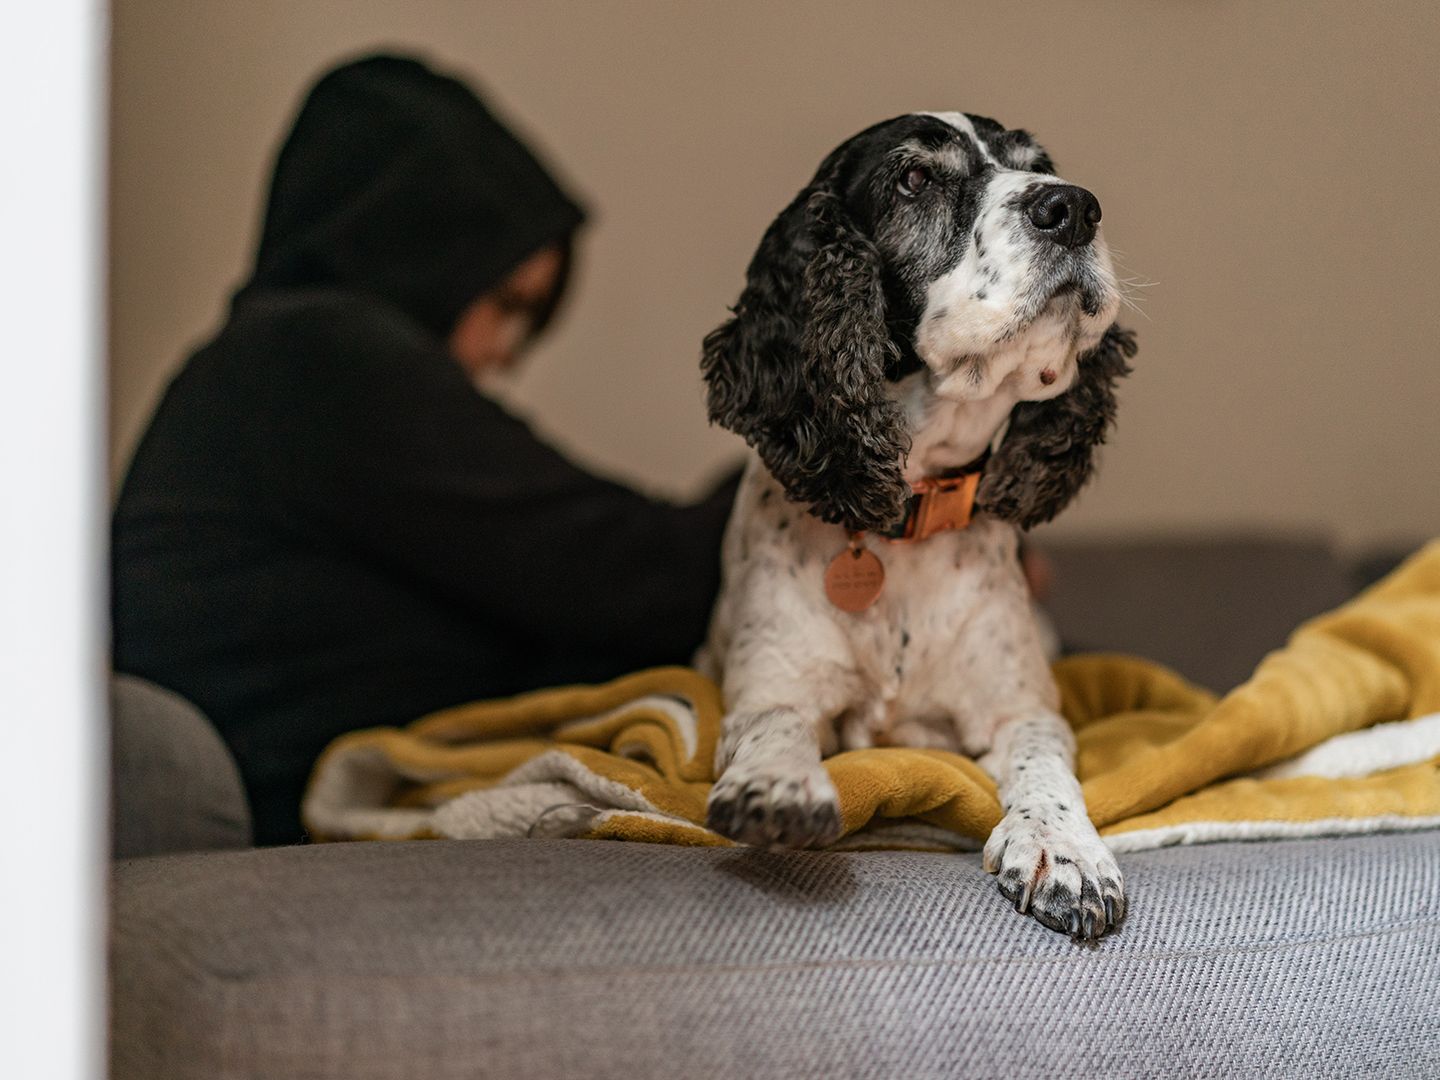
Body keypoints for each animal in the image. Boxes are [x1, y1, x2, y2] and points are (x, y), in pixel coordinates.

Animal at [696, 110, 1134, 938]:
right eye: (915, 178)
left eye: (1039, 164)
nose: (1075, 207)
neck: (909, 511)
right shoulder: (772, 683)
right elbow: (773, 725)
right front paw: (778, 787)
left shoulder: (1018, 706)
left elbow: (1043, 758)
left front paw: (1063, 849)